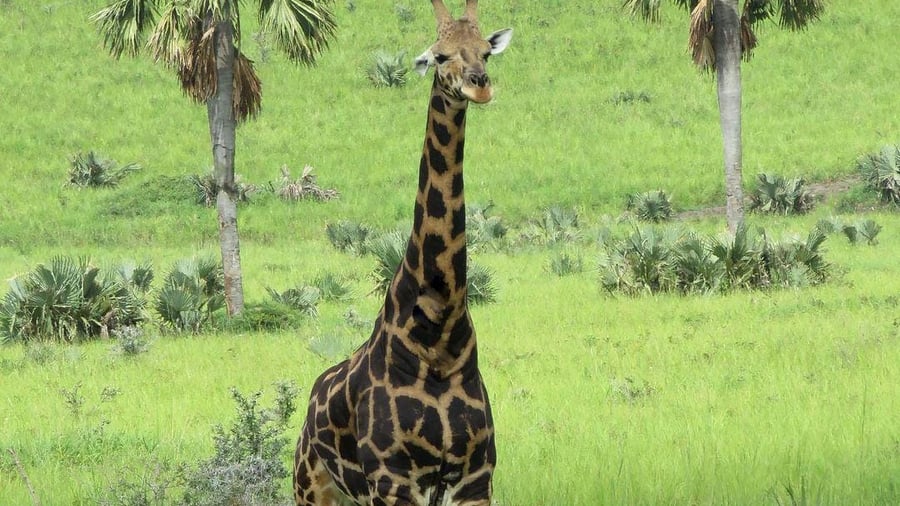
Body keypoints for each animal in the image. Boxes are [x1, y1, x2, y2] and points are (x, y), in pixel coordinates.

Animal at [293, 1, 512, 505]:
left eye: (485, 51)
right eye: (439, 56)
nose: (480, 85)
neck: (440, 330)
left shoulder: (474, 476)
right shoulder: (393, 479)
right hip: (311, 486)